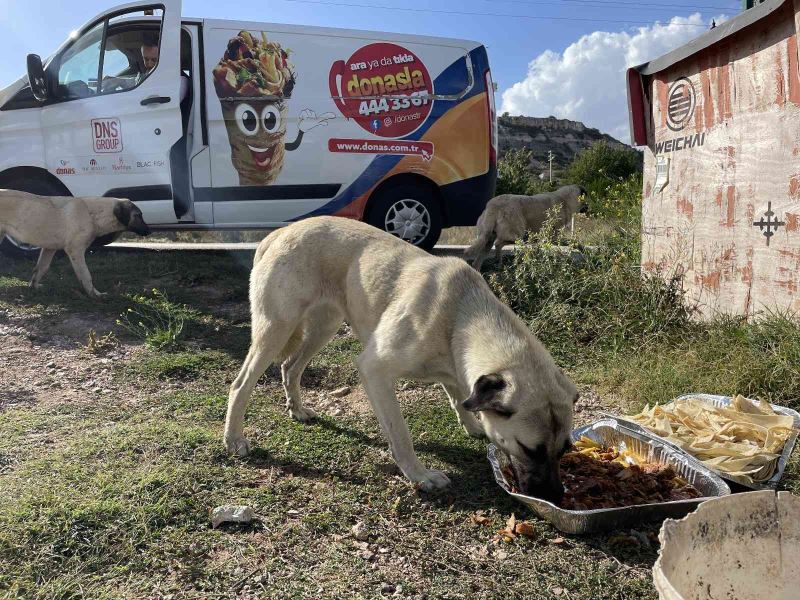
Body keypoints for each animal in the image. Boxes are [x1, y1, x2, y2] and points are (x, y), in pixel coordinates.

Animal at [0, 190, 151, 298]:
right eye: (138, 216)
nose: (149, 231)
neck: (93, 214)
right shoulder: (75, 251)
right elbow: (86, 275)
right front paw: (94, 294)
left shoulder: (49, 248)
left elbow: (41, 268)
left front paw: (33, 286)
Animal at [225, 218, 576, 500]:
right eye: (529, 450)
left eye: (564, 450)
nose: (556, 496)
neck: (461, 315)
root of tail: (280, 232)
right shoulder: (375, 370)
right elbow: (401, 434)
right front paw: (420, 476)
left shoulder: (456, 371)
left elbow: (459, 396)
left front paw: (472, 424)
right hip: (276, 330)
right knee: (240, 385)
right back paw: (234, 439)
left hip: (323, 328)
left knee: (290, 367)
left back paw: (296, 409)